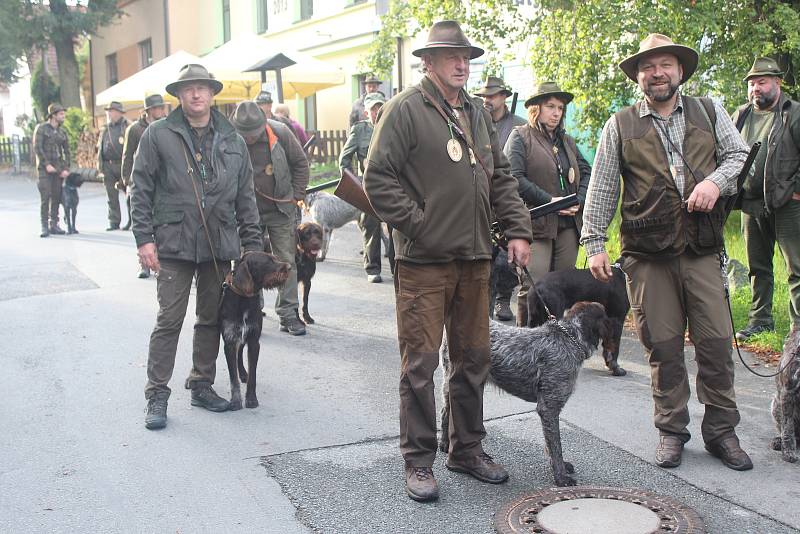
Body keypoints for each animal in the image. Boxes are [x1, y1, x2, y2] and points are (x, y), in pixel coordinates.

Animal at [220, 251, 290, 410]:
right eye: (268, 261)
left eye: (275, 258)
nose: (289, 267)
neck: (244, 299)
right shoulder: (230, 341)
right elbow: (233, 378)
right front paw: (235, 401)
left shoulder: (253, 341)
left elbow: (253, 375)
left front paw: (251, 399)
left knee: (240, 355)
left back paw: (243, 373)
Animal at [440, 304, 608, 488]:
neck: (568, 337)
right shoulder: (549, 408)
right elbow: (556, 446)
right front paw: (560, 476)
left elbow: (551, 444)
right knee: (446, 412)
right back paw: (445, 443)